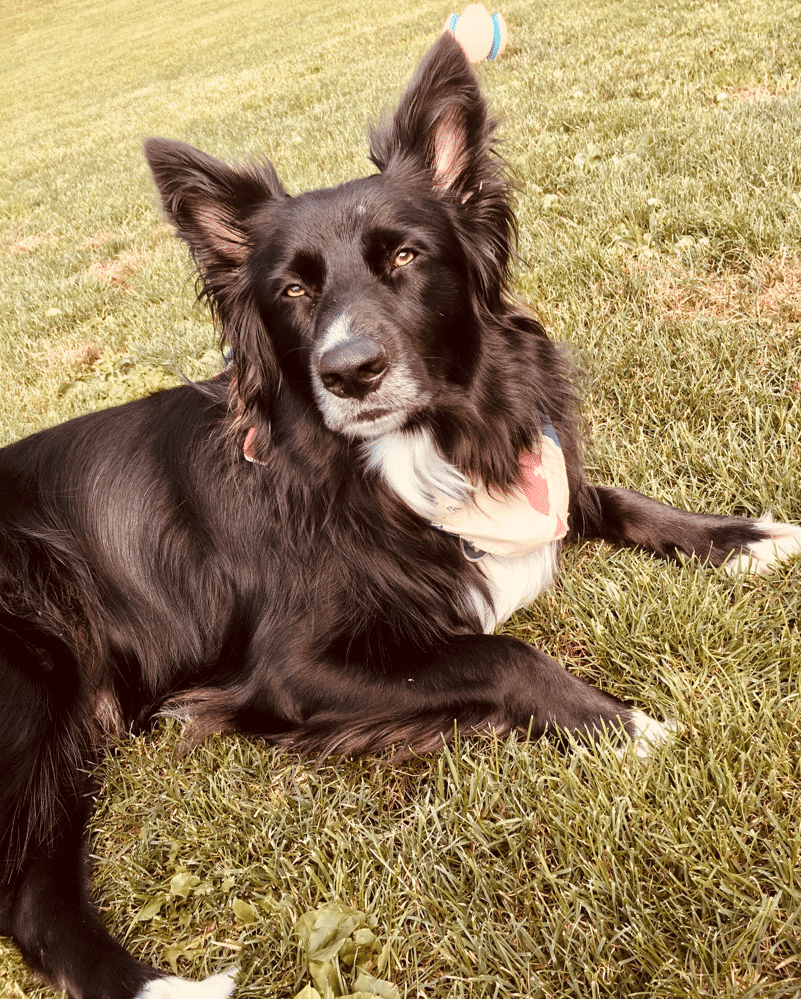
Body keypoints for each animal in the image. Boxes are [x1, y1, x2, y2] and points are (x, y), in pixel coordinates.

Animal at [1, 35, 800, 996]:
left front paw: (742, 537)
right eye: (292, 292)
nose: (349, 372)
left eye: (406, 258)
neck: (403, 456)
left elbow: (611, 498)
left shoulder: (533, 480)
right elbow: (503, 651)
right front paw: (627, 726)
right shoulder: (289, 669)